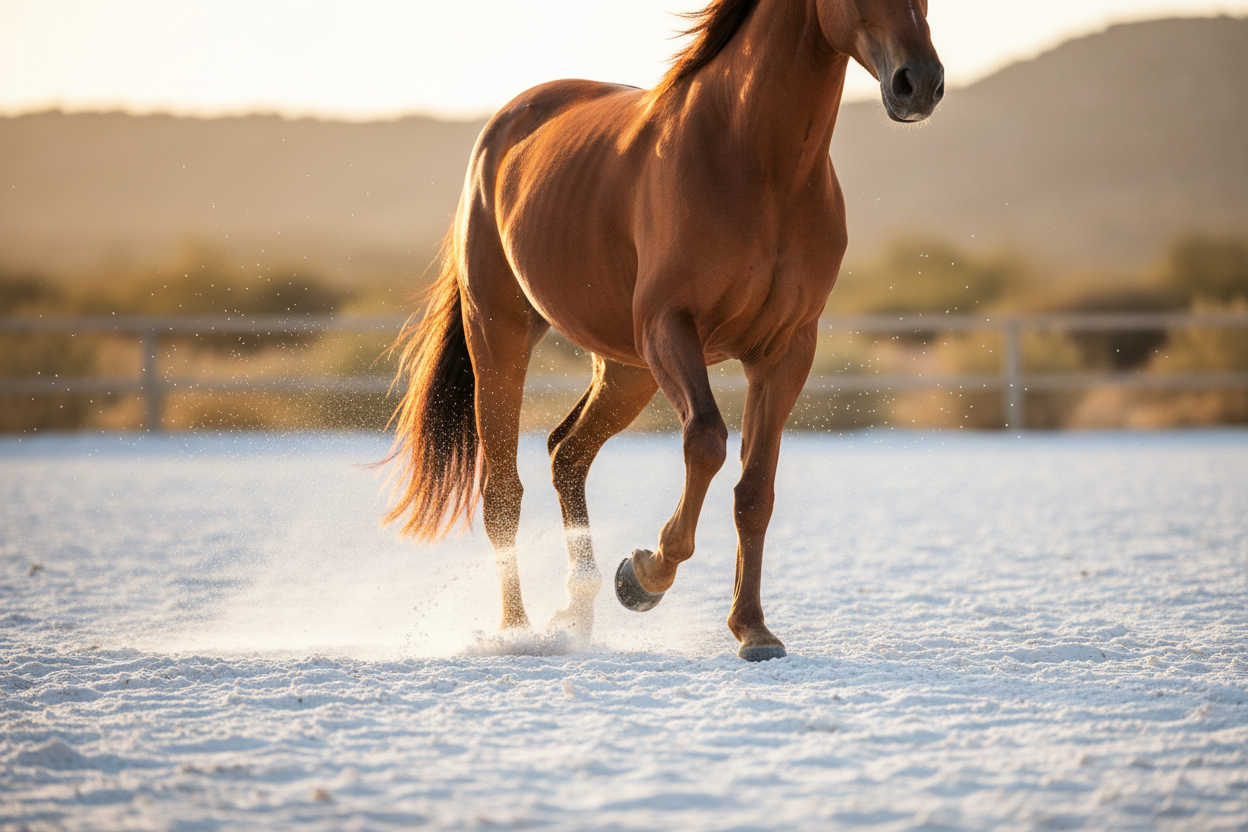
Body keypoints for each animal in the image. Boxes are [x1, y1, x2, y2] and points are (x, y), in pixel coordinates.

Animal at [383, 0, 943, 661]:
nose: (919, 83)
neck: (758, 161)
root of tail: (502, 130)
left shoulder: (785, 351)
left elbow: (755, 490)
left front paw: (753, 630)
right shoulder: (670, 326)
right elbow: (706, 440)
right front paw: (644, 576)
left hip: (627, 369)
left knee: (567, 454)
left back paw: (575, 615)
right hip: (502, 338)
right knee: (502, 492)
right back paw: (519, 631)